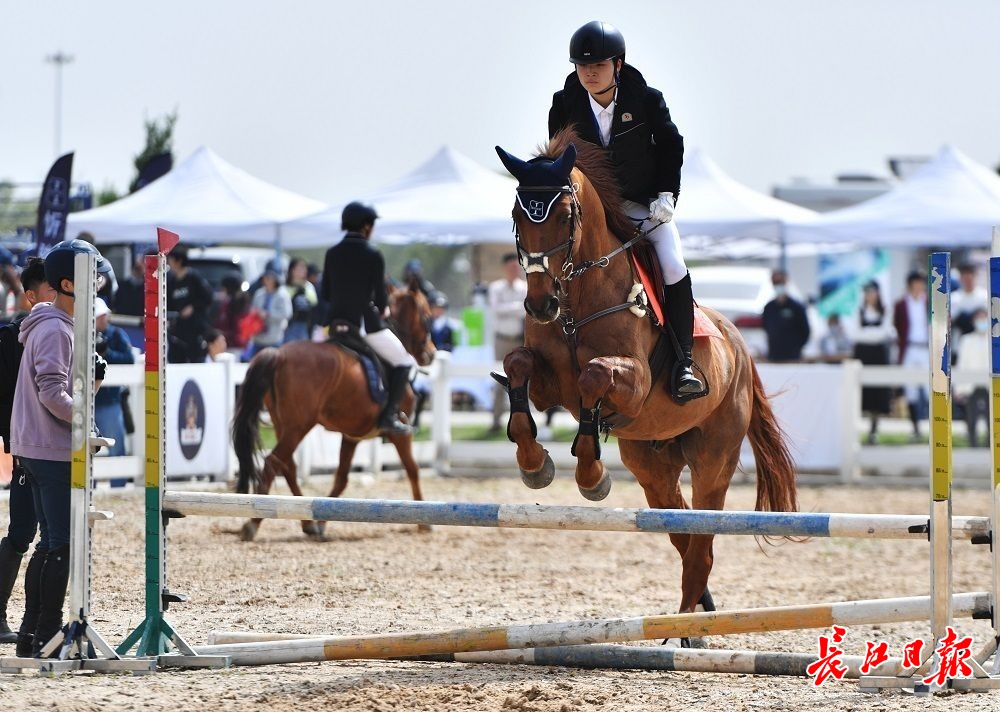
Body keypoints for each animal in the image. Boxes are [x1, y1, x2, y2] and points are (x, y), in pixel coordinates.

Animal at [232, 282, 435, 542]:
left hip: (283, 424)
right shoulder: (400, 433)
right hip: (299, 426)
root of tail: (279, 354)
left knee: (287, 466)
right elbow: (412, 469)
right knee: (273, 463)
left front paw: (322, 520)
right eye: (426, 315)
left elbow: (341, 478)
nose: (431, 353)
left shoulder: (351, 437)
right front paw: (424, 522)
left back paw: (307, 523)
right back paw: (253, 523)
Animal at [493, 128, 798, 625]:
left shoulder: (631, 387)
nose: (540, 305)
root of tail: (739, 346)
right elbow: (518, 367)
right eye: (519, 215)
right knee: (681, 533)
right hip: (653, 465)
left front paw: (591, 474)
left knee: (701, 546)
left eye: (565, 216)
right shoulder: (546, 385)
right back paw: (694, 617)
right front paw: (535, 464)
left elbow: (594, 376)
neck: (576, 301)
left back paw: (687, 625)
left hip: (713, 459)